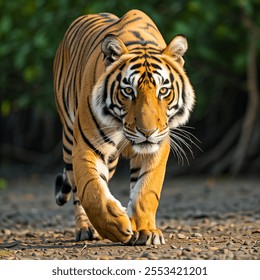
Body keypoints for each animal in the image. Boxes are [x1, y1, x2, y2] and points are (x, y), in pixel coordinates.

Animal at [53, 8, 194, 245]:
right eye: (128, 91)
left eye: (163, 91)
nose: (147, 132)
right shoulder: (86, 146)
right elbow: (91, 190)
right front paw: (114, 225)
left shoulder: (157, 147)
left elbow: (146, 190)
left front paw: (145, 231)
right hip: (69, 139)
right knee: (76, 190)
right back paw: (86, 229)